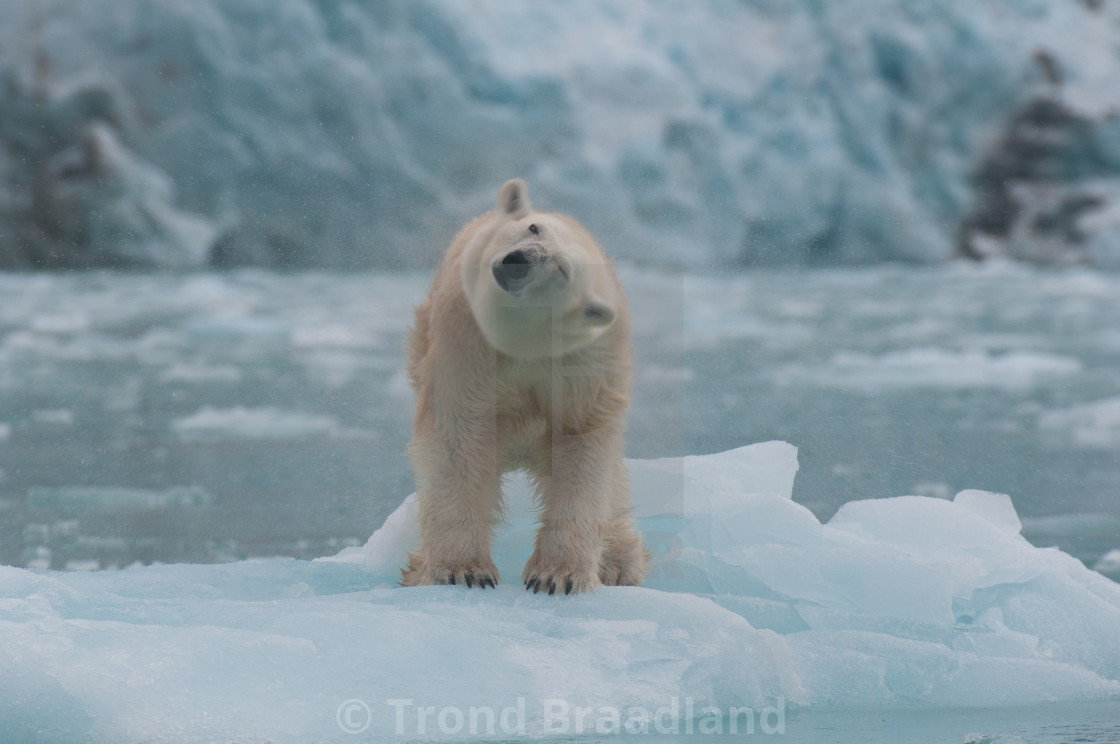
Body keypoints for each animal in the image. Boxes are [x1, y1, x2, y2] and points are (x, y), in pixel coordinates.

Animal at [400, 179, 649, 591]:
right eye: (533, 228)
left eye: (563, 270)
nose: (519, 260)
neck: (527, 341)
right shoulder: (467, 339)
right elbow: (460, 434)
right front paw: (463, 570)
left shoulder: (586, 363)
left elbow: (582, 447)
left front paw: (557, 576)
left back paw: (620, 563)